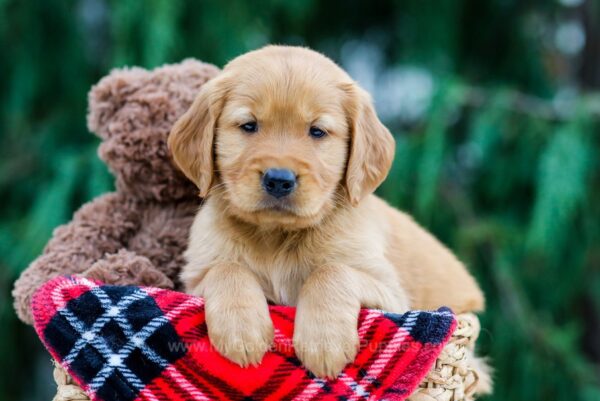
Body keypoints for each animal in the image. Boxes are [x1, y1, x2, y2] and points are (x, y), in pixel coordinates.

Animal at [166, 46, 486, 378]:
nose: (279, 180)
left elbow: (331, 271)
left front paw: (324, 342)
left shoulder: (392, 296)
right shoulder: (195, 277)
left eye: (317, 131)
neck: (276, 236)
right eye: (249, 126)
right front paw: (241, 332)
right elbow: (227, 268)